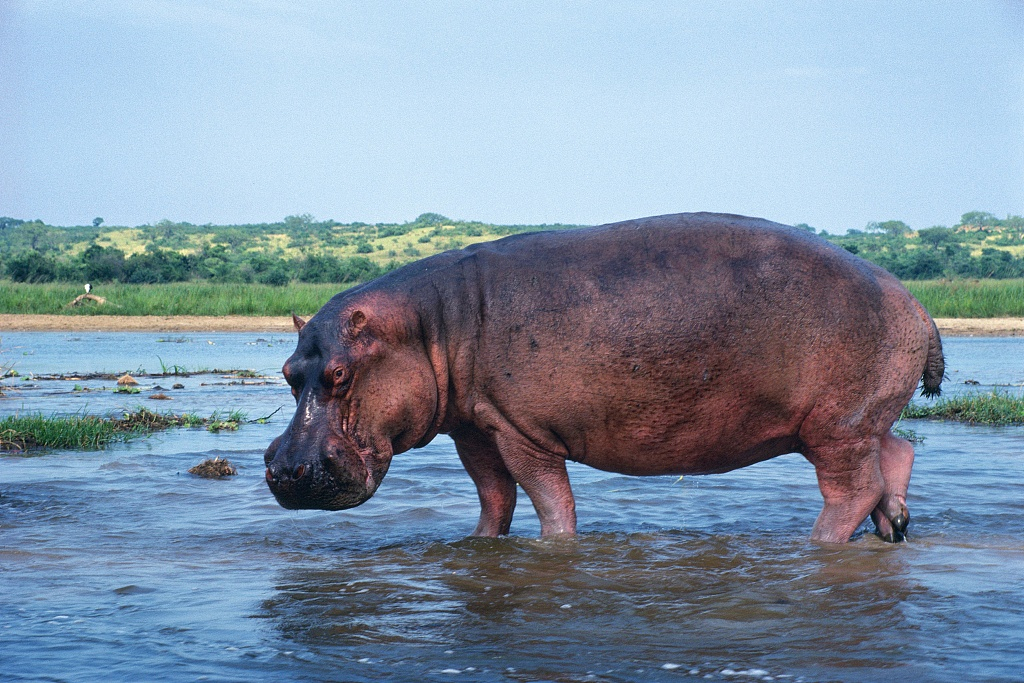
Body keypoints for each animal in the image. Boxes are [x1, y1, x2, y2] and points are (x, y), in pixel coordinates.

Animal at [265, 212, 943, 543]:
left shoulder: (523, 430)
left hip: (835, 426)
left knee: (852, 488)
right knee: (898, 454)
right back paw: (894, 529)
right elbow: (494, 496)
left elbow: (548, 498)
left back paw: (818, 544)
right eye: (289, 372)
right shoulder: (475, 427)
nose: (288, 469)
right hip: (857, 419)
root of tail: (915, 303)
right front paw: (477, 546)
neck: (428, 325)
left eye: (341, 373)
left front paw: (558, 549)